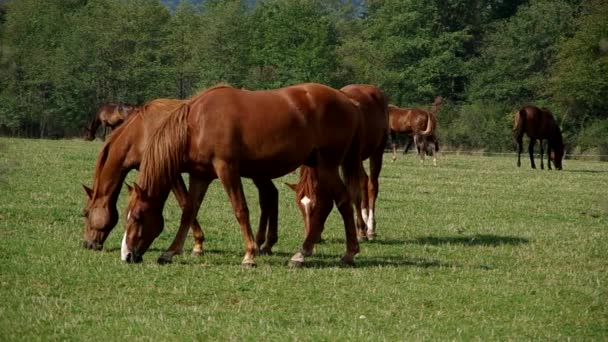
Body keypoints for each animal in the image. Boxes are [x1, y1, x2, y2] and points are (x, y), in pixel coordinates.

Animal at [121, 83, 364, 268]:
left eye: (138, 216)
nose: (127, 255)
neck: (197, 124)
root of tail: (348, 101)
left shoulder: (226, 169)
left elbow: (240, 210)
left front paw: (249, 254)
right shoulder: (200, 176)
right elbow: (188, 212)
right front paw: (170, 252)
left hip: (327, 165)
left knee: (340, 201)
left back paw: (339, 253)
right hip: (319, 165)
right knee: (329, 204)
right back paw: (307, 253)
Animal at [286, 84, 390, 242]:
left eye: (315, 205)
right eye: (299, 205)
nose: (309, 235)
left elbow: (354, 194)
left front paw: (361, 231)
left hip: (376, 151)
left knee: (372, 185)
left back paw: (370, 227)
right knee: (364, 181)